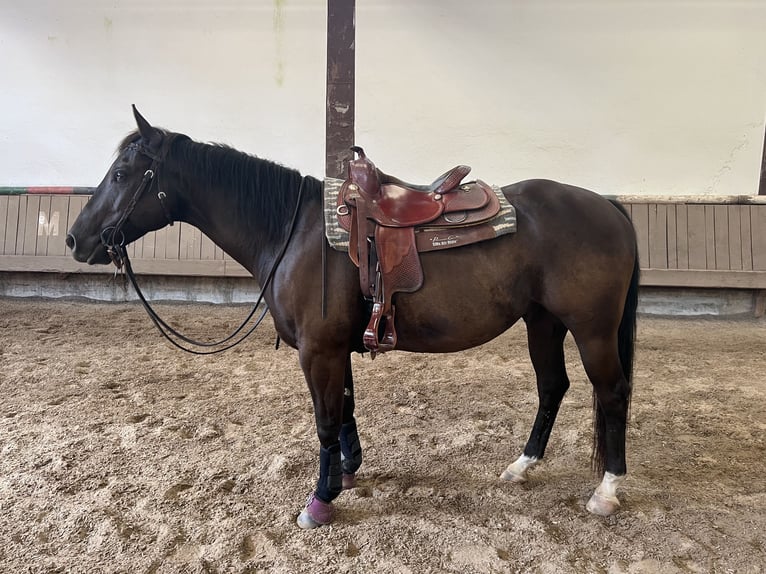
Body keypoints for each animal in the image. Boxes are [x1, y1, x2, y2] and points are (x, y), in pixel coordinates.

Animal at [66, 108, 640, 532]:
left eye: (121, 174)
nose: (74, 239)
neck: (294, 231)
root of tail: (609, 206)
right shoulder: (336, 347)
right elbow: (343, 410)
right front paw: (346, 472)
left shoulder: (317, 349)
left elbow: (324, 419)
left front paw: (319, 501)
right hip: (542, 322)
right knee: (552, 387)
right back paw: (522, 466)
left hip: (591, 329)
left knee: (610, 392)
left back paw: (607, 490)